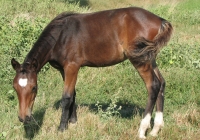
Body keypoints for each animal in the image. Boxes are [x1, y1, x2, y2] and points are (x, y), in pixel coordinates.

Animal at [10, 7, 173, 138]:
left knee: (153, 85)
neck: (60, 36)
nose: (23, 118)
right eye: (15, 87)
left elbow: (66, 97)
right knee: (162, 82)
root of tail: (160, 20)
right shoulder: (64, 69)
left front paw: (62, 128)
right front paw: (73, 122)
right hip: (150, 57)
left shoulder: (72, 67)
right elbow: (73, 94)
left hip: (139, 60)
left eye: (34, 88)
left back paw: (142, 130)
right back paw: (155, 129)